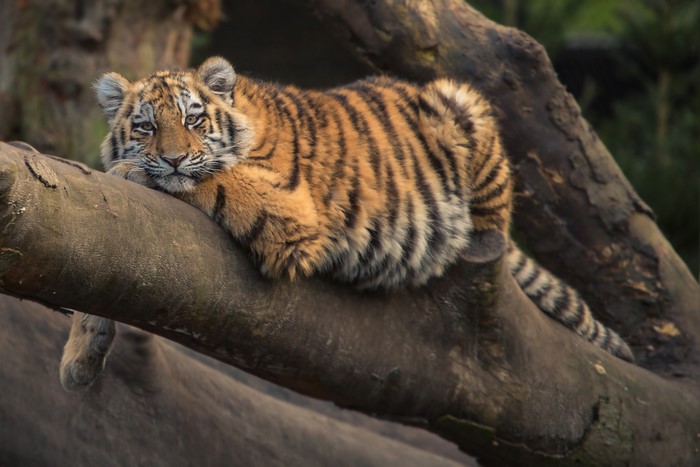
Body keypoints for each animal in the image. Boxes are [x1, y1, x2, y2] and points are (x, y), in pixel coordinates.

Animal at [59, 57, 634, 390]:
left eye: (194, 119)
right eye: (145, 126)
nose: (173, 158)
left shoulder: (288, 210)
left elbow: (212, 178)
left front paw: (131, 171)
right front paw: (79, 361)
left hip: (461, 106)